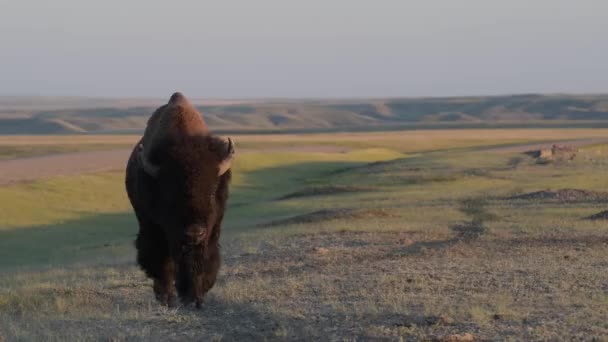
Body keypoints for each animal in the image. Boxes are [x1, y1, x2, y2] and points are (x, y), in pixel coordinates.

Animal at [124, 92, 234, 308]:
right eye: (170, 196)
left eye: (211, 192)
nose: (194, 232)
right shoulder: (156, 227)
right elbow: (163, 261)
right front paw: (168, 298)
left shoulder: (210, 230)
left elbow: (202, 259)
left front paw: (196, 297)